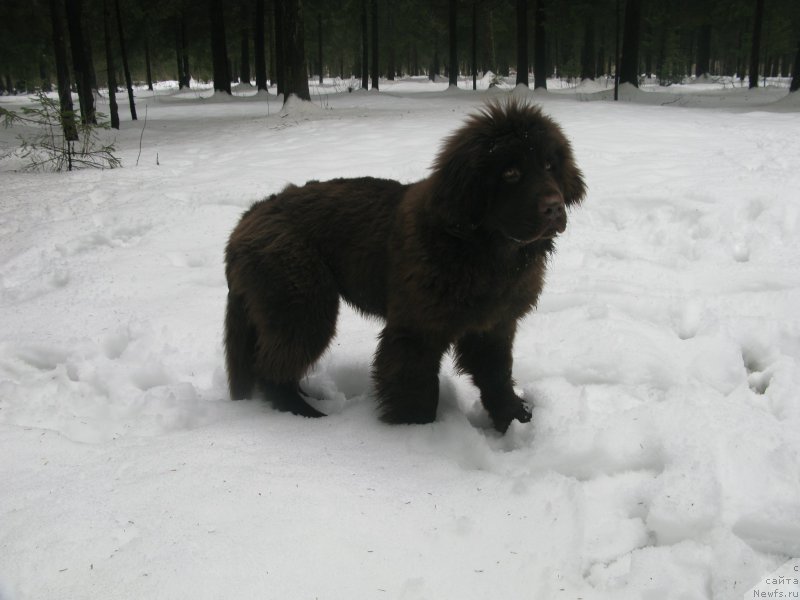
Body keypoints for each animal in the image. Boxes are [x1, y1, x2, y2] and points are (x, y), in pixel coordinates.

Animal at [225, 101, 588, 434]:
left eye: (549, 165)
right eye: (510, 172)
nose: (554, 208)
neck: (482, 251)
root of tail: (248, 216)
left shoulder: (494, 325)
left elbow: (497, 376)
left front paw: (516, 421)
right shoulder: (417, 330)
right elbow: (416, 387)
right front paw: (416, 438)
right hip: (302, 305)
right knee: (273, 368)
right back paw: (306, 416)